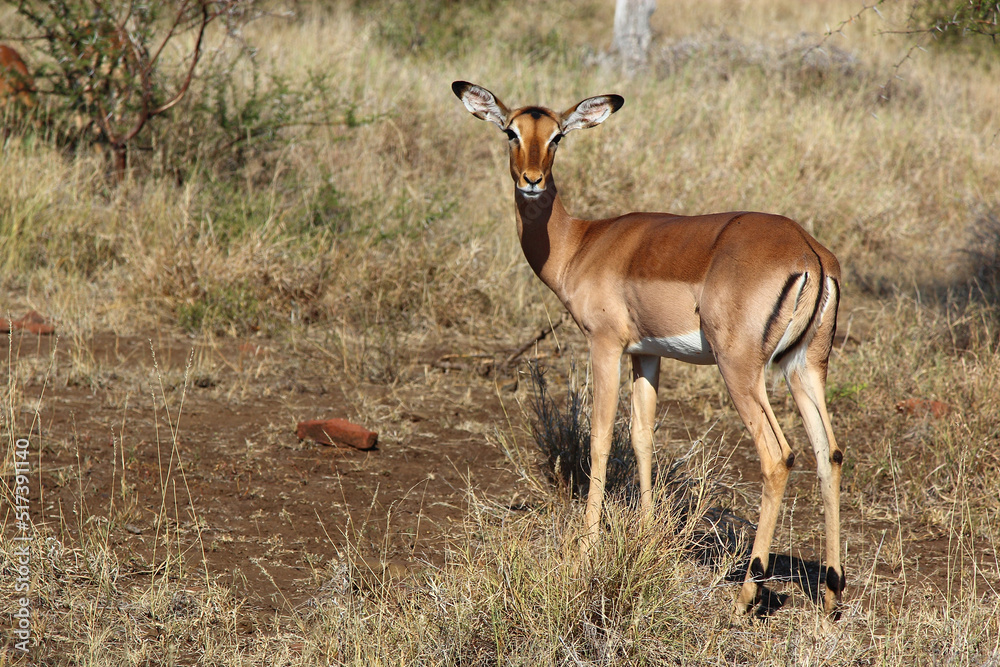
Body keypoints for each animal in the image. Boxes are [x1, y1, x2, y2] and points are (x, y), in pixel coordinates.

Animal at [452, 81, 844, 617]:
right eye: (511, 131)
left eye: (557, 136)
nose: (532, 181)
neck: (581, 243)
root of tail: (808, 251)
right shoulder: (646, 354)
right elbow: (642, 436)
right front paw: (644, 532)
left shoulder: (604, 345)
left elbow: (599, 438)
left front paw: (586, 548)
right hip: (805, 367)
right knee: (830, 453)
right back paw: (831, 592)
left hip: (740, 369)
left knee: (778, 456)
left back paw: (747, 593)